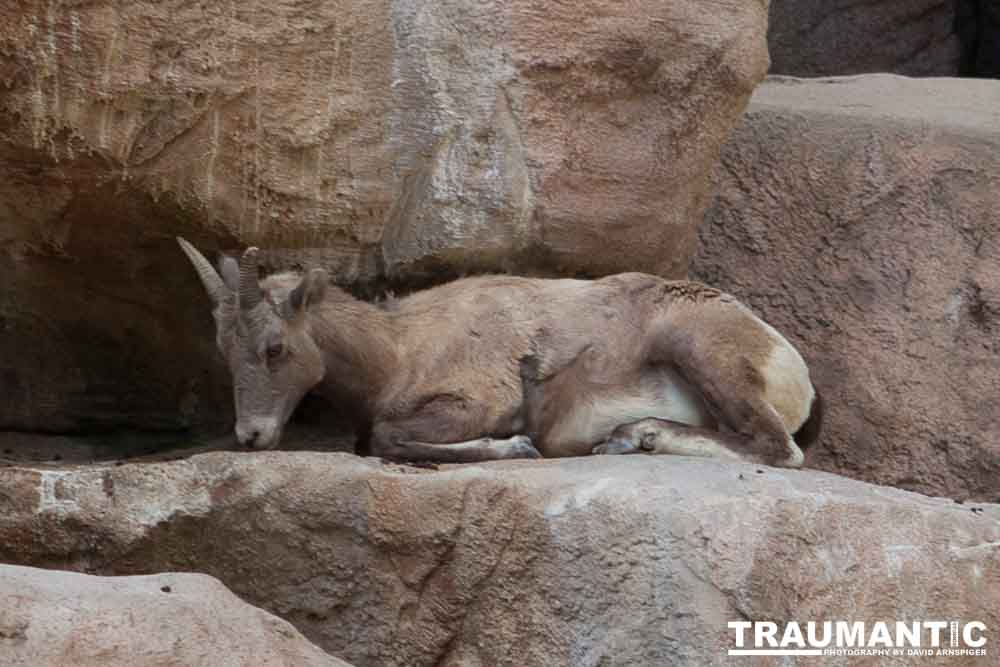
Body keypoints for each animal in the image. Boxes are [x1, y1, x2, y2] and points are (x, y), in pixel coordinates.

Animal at [178, 237, 820, 468]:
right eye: (223, 350)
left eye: (275, 347)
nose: (251, 435)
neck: (401, 349)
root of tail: (795, 373)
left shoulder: (473, 401)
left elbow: (385, 438)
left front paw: (514, 446)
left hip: (699, 350)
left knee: (778, 449)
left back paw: (638, 436)